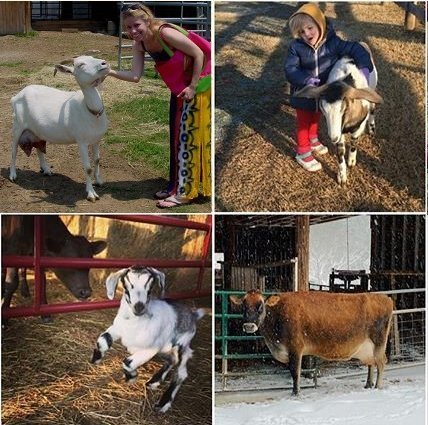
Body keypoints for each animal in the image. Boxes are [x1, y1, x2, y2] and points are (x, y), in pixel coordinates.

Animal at [10, 55, 110, 201]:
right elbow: (87, 167)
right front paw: (91, 193)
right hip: (18, 125)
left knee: (38, 148)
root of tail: (16, 96)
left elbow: (97, 160)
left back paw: (46, 170)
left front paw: (99, 181)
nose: (104, 63)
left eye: (92, 57)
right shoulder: (82, 141)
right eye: (80, 65)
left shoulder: (96, 140)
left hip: (37, 130)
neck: (89, 110)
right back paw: (12, 175)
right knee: (14, 150)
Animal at [91, 266, 209, 412]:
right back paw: (154, 381)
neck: (134, 323)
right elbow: (103, 340)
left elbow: (128, 362)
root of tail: (193, 314)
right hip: (166, 348)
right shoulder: (117, 329)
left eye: (150, 287)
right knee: (172, 360)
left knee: (181, 372)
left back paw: (163, 402)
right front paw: (96, 358)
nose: (139, 306)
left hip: (181, 343)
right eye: (126, 286)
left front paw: (131, 377)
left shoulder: (151, 349)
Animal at [229, 290, 392, 396]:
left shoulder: (295, 347)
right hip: (368, 348)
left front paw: (296, 392)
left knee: (381, 362)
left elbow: (295, 371)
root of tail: (385, 298)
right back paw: (368, 384)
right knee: (371, 364)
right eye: (243, 305)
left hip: (378, 342)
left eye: (261, 305)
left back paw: (377, 386)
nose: (249, 326)